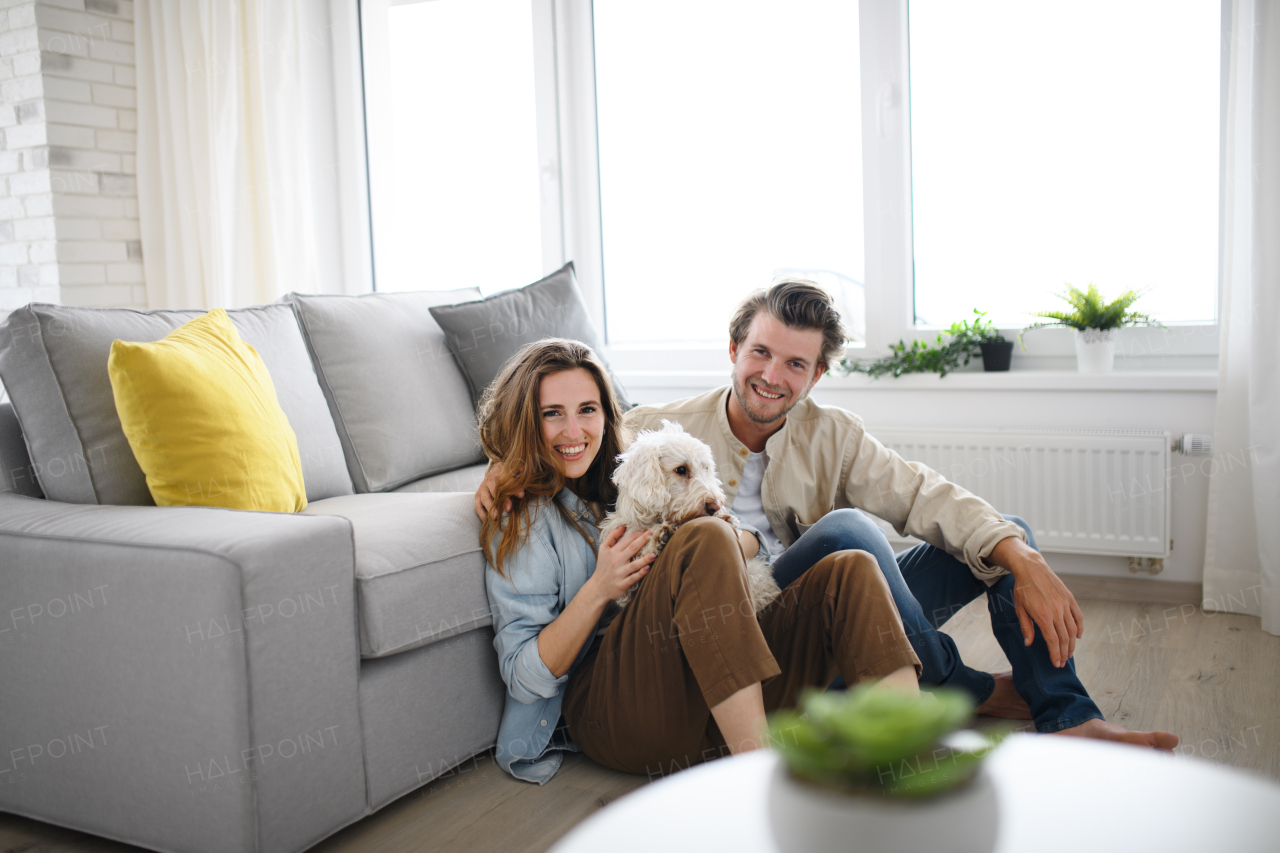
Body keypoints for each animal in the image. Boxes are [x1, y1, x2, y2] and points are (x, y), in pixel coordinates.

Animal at [601, 420, 778, 612]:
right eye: (681, 469)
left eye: (706, 468)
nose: (715, 506)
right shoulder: (625, 586)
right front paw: (658, 538)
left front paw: (727, 519)